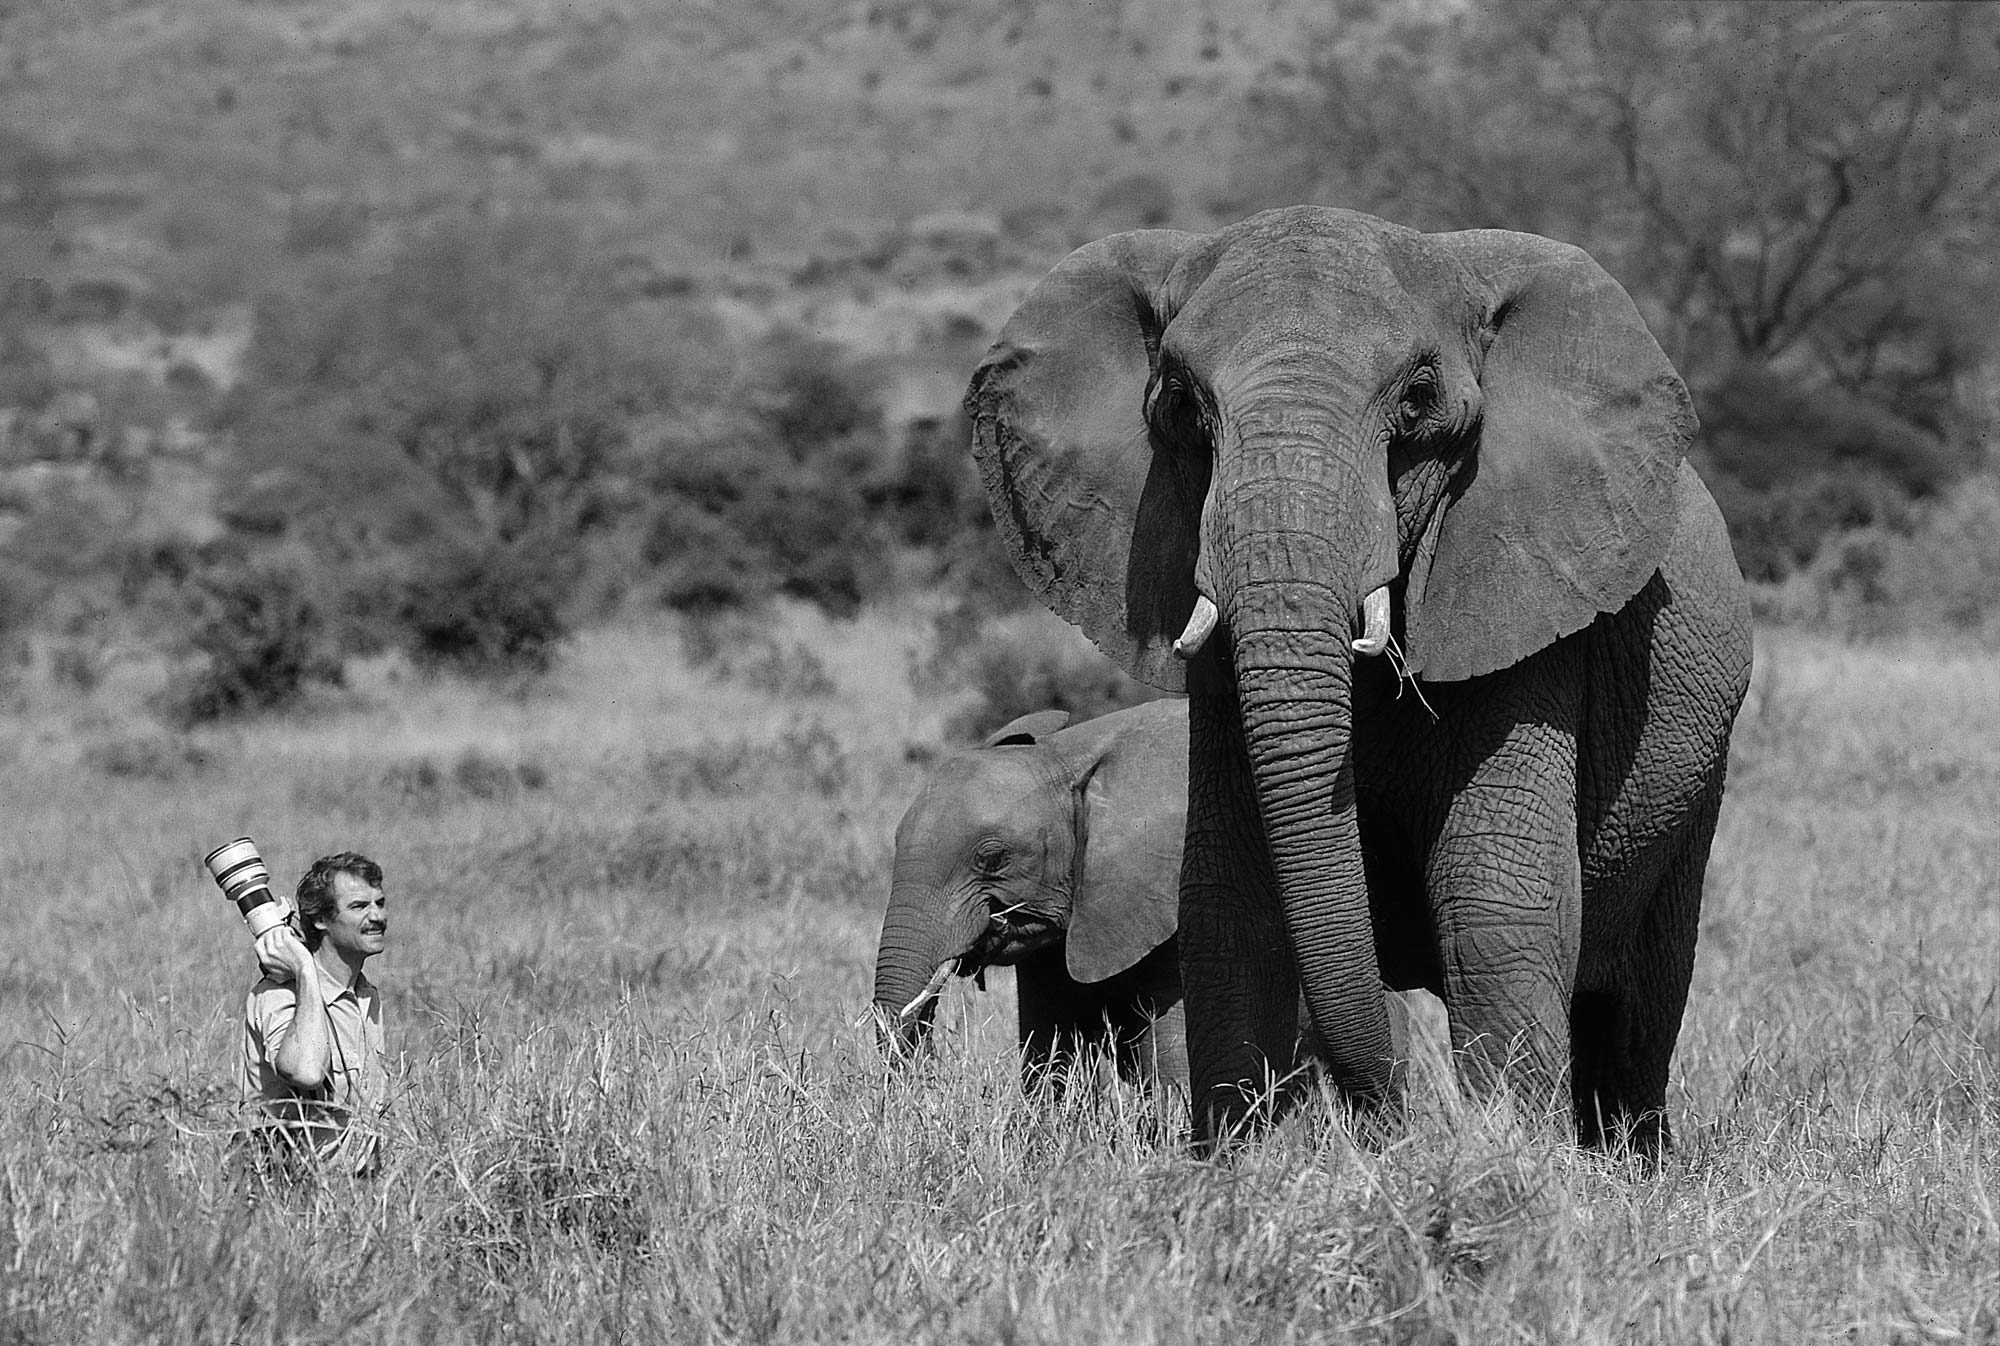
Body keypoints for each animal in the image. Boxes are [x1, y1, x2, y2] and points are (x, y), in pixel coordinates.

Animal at [968, 205, 1752, 1152]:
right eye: (1183, 405)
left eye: (1416, 401)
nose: (1394, 1121)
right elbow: (1227, 900)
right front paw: (1242, 1159)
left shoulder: (1529, 615)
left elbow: (1493, 899)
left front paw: (1508, 1155)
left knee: (1639, 1004)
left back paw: (1627, 1159)